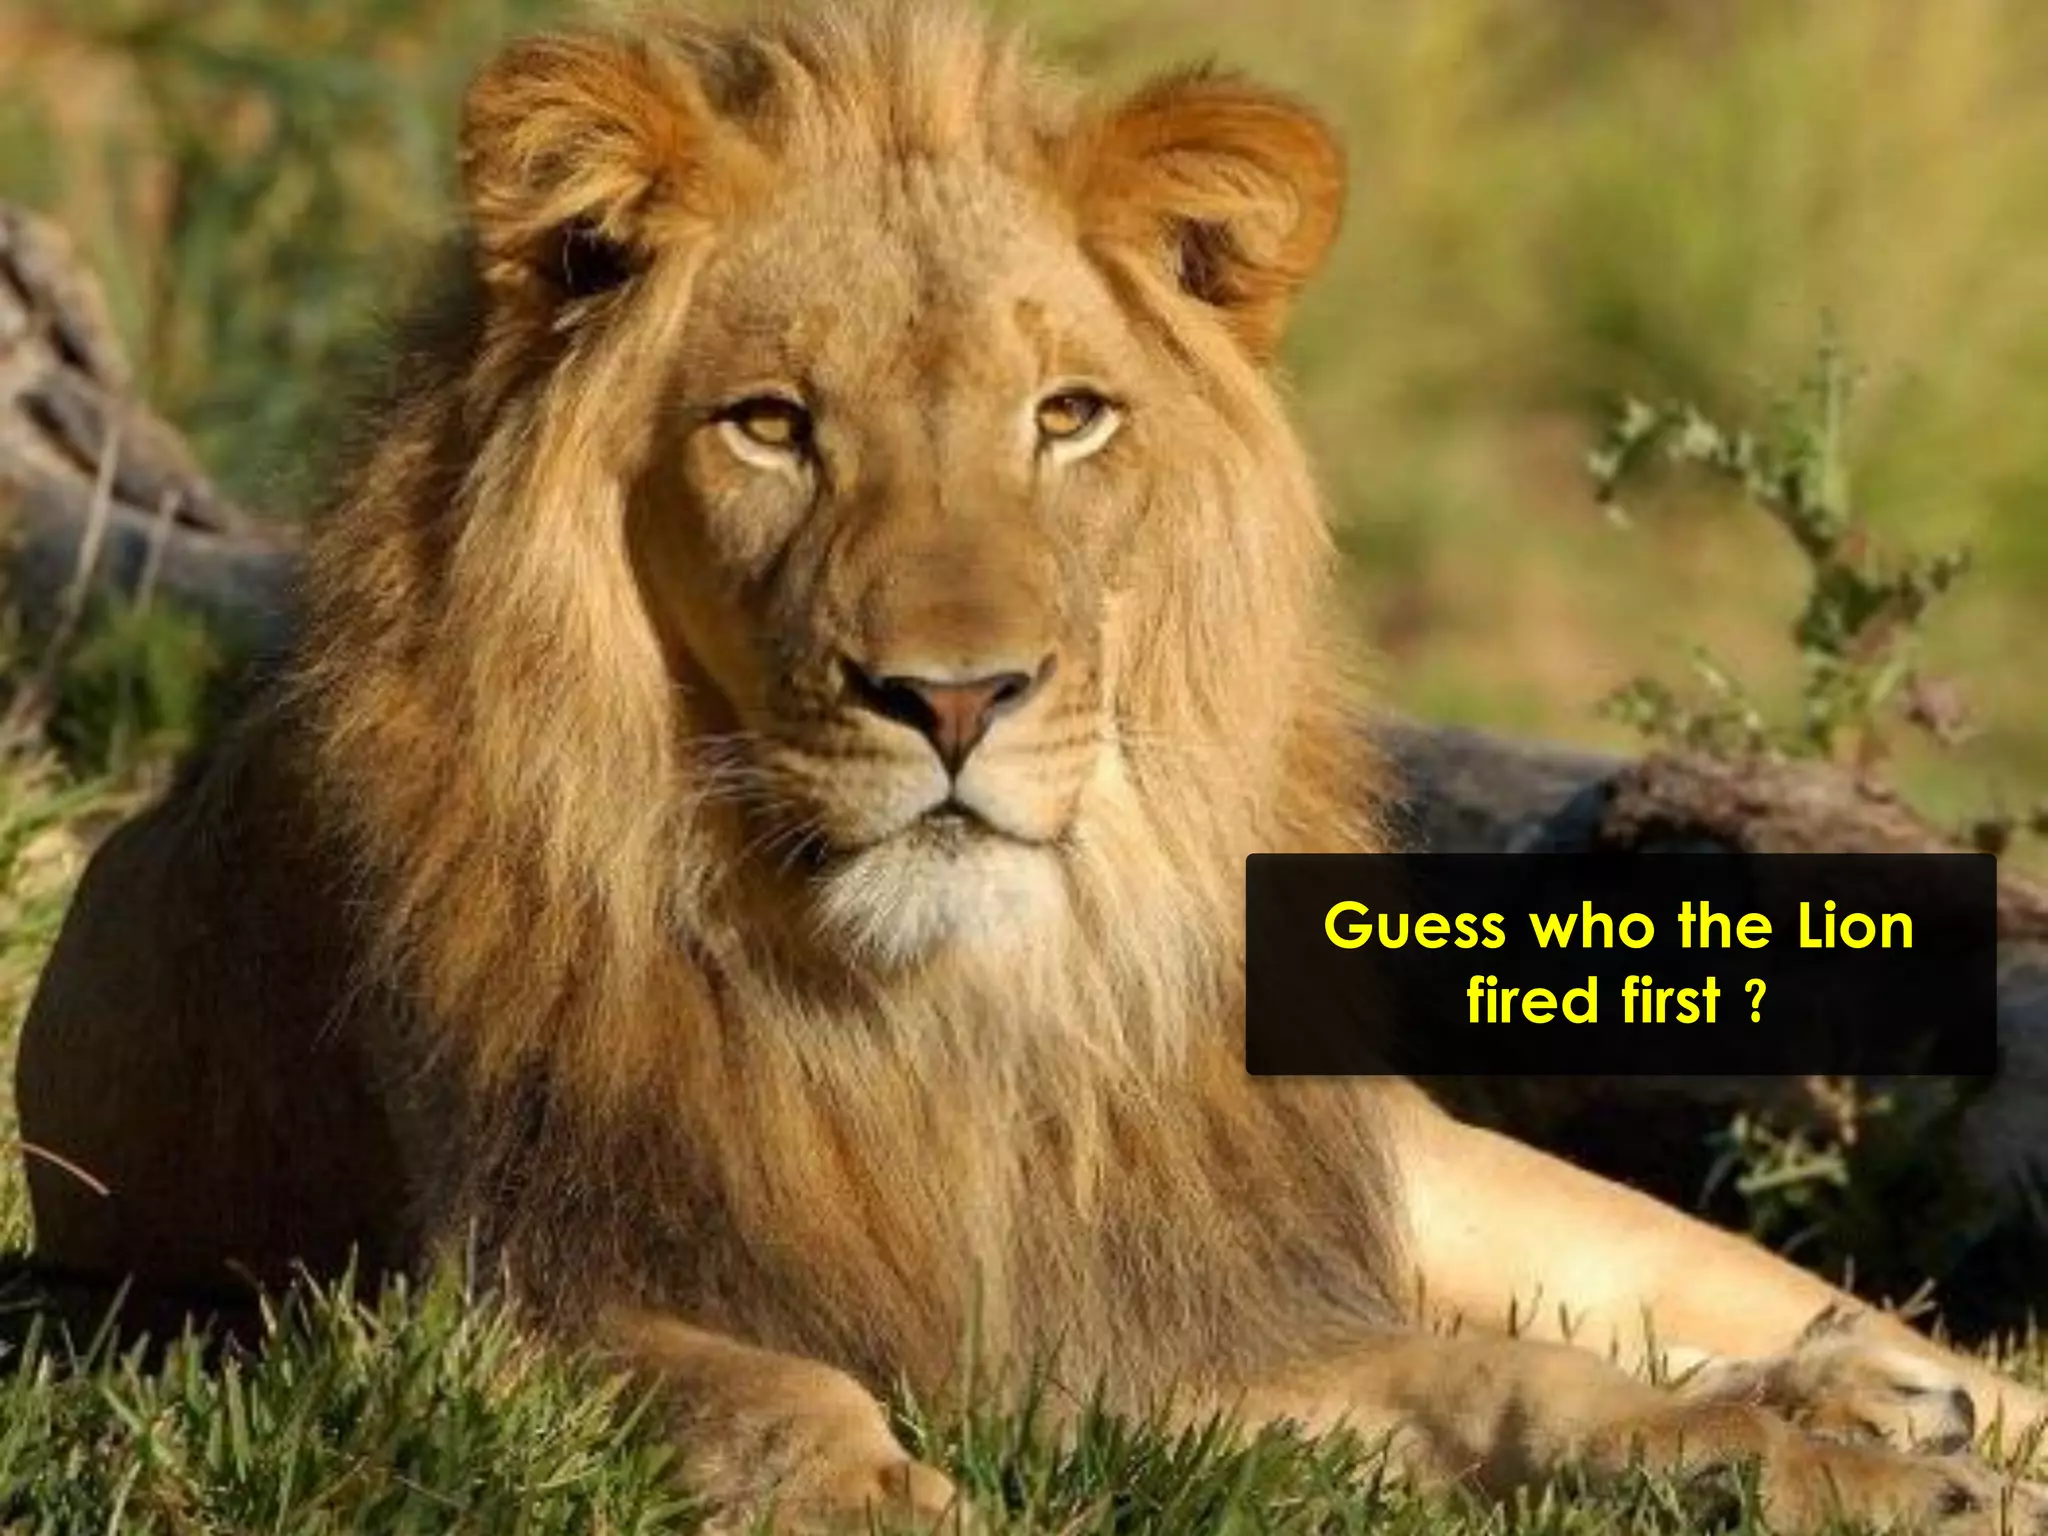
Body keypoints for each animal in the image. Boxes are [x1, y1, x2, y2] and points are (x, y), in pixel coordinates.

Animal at [15, 2, 2048, 1531]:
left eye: (1066, 417)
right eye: (771, 425)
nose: (956, 698)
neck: (937, 1007)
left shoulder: (1165, 1313)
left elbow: (1520, 1384)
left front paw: (1833, 1472)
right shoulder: (475, 1290)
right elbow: (750, 1390)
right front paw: (875, 1501)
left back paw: (1895, 1399)